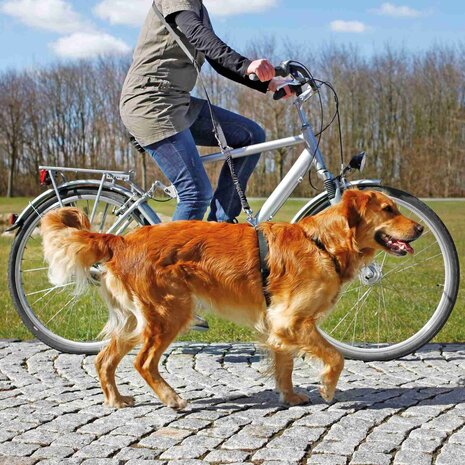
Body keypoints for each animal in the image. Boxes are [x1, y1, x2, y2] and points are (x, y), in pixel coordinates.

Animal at [41, 188, 422, 410]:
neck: (323, 244)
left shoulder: (280, 326)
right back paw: (172, 399)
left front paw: (291, 396)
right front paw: (327, 388)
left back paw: (116, 400)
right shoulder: (293, 320)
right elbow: (337, 357)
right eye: (388, 209)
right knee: (143, 363)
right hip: (169, 314)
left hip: (135, 321)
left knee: (103, 359)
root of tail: (121, 239)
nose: (419, 228)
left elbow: (285, 365)